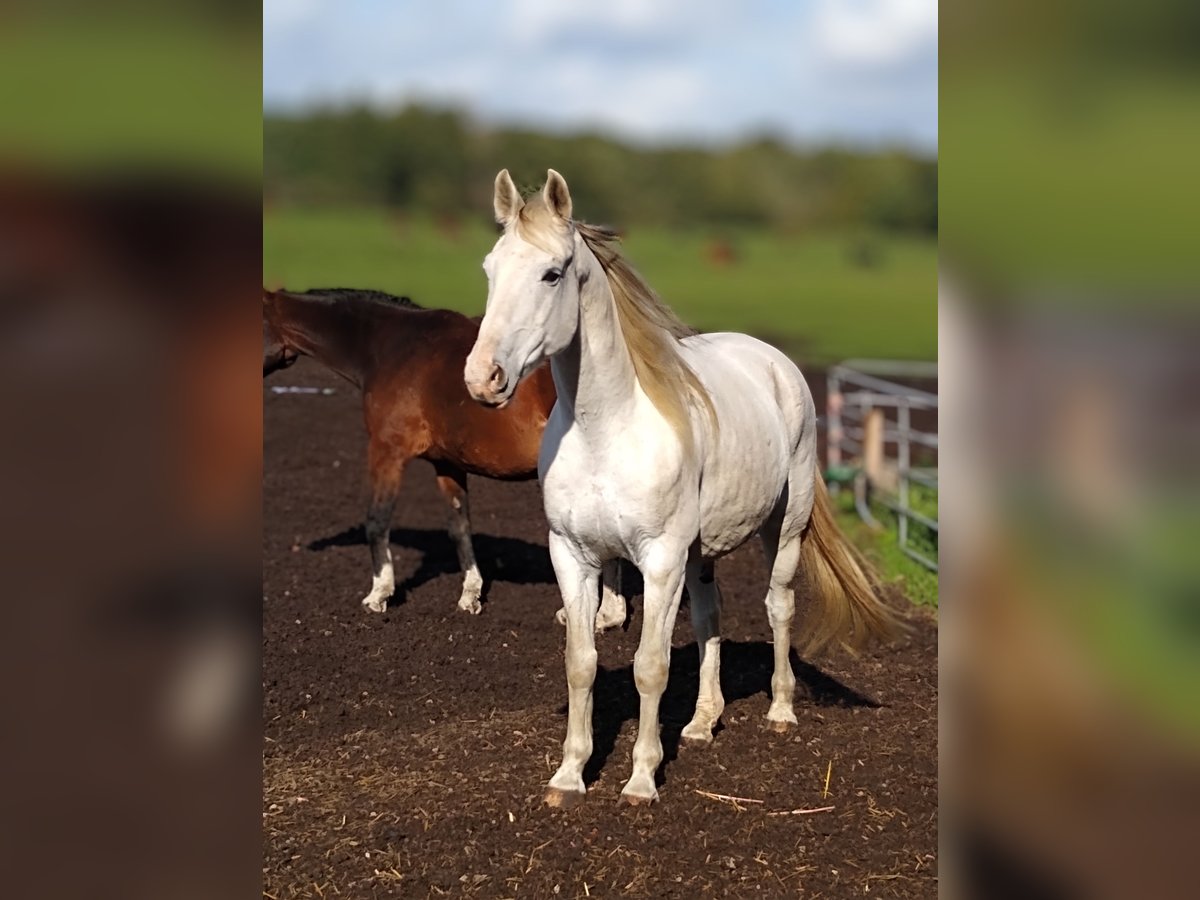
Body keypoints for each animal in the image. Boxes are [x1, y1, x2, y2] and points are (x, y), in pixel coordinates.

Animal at [265, 289, 628, 628]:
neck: (391, 347)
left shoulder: (387, 451)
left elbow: (377, 521)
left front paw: (379, 594)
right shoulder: (448, 464)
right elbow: (459, 527)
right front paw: (470, 594)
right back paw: (608, 614)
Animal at [463, 170, 897, 811]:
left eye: (552, 273)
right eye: (490, 268)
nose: (482, 378)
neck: (606, 429)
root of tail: (776, 362)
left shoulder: (659, 560)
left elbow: (650, 667)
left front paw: (641, 780)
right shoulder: (572, 554)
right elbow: (581, 663)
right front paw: (569, 776)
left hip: (783, 530)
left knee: (779, 606)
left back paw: (781, 710)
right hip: (700, 552)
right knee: (710, 618)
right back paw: (701, 722)